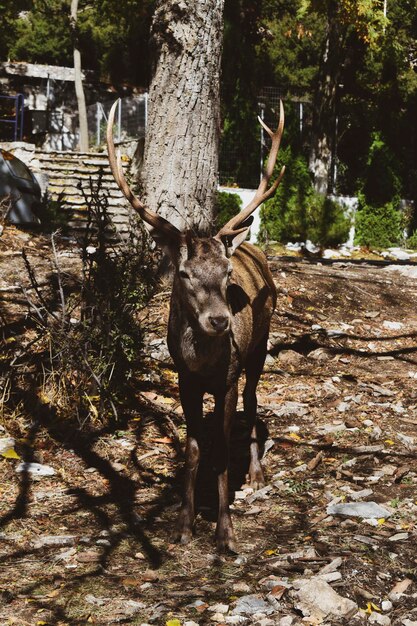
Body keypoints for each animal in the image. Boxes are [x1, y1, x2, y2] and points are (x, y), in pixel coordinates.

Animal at [105, 98, 284, 552]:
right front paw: (183, 525)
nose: (219, 320)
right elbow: (193, 449)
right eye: (184, 273)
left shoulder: (227, 378)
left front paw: (225, 532)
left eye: (226, 273)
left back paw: (255, 475)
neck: (204, 363)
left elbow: (219, 449)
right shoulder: (185, 378)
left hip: (260, 346)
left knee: (253, 402)